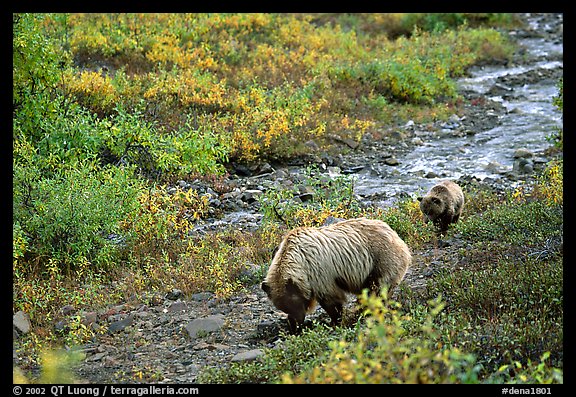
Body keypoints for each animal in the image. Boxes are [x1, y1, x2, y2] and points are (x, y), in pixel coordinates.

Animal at [260, 217, 414, 332]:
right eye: (282, 306)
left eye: (295, 302)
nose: (298, 322)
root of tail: (396, 235)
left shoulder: (319, 271)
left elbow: (331, 299)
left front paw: (335, 321)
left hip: (381, 260)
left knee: (376, 289)